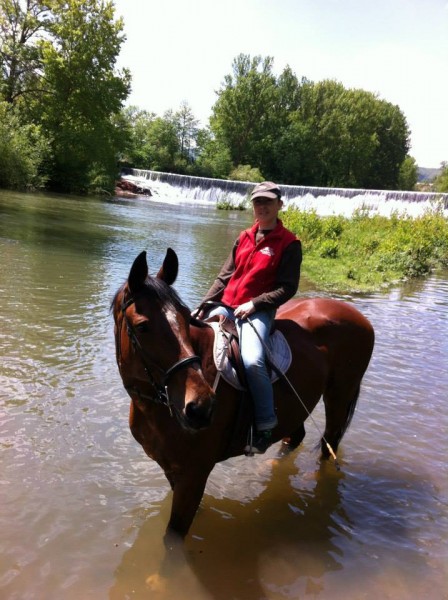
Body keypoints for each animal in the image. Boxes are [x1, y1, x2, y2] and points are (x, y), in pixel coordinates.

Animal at [111, 248, 375, 540]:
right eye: (143, 326)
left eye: (184, 316)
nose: (200, 407)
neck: (156, 407)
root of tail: (358, 316)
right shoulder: (174, 472)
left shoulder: (193, 475)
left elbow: (172, 541)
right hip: (298, 401)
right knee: (295, 437)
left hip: (340, 394)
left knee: (329, 443)